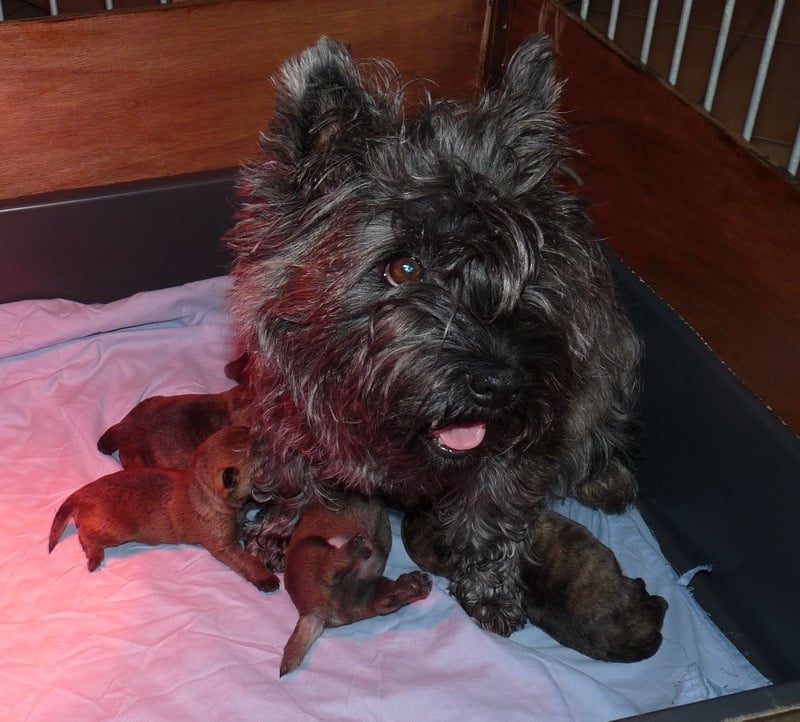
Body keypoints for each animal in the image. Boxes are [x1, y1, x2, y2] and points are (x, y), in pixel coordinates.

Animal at [49, 422, 278, 592]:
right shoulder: (224, 546)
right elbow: (246, 560)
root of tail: (82, 493)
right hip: (116, 531)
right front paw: (266, 578)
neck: (203, 492)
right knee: (85, 536)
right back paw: (94, 556)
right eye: (261, 461)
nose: (268, 434)